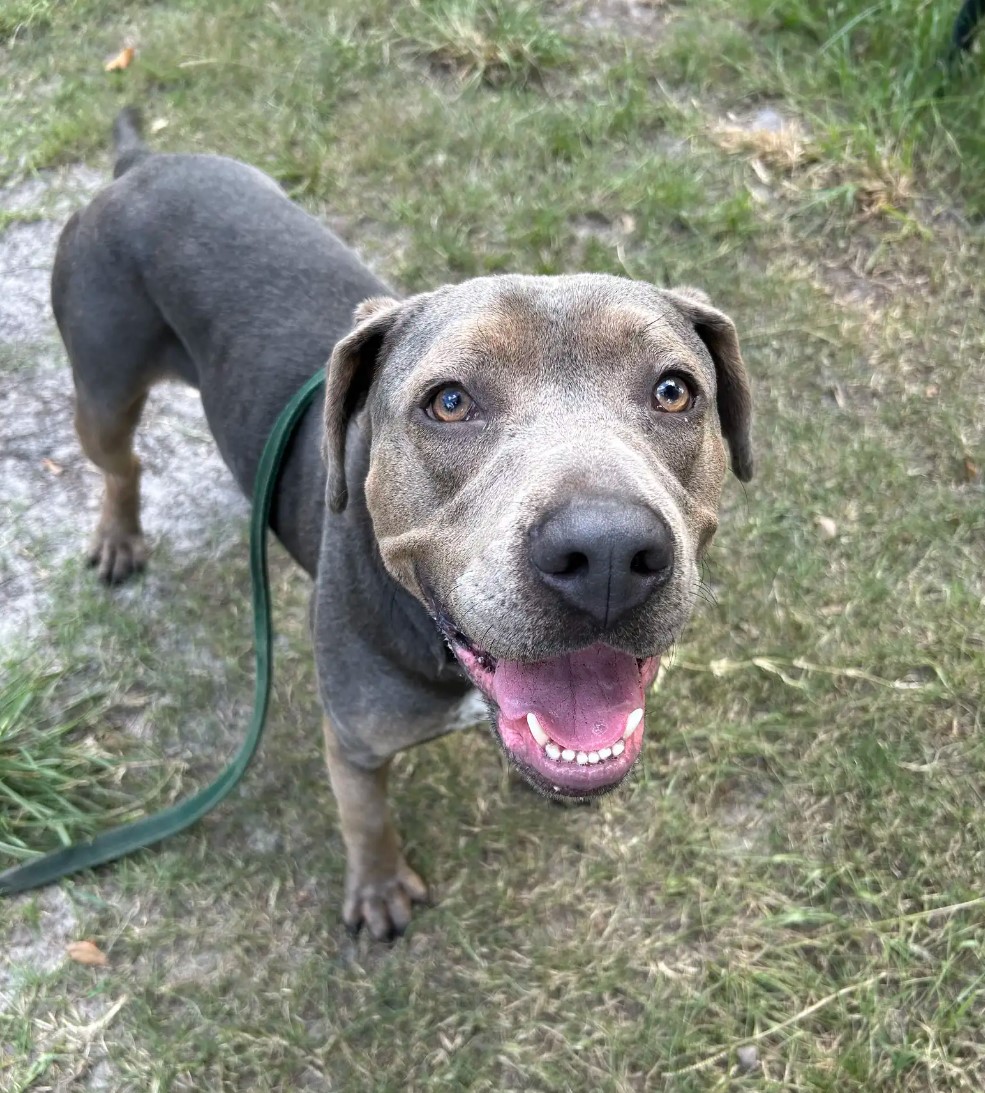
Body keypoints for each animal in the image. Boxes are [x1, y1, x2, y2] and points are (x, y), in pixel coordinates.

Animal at [50, 110, 747, 939]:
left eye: (674, 391)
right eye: (448, 402)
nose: (607, 551)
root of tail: (139, 164)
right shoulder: (354, 740)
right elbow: (366, 816)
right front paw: (379, 887)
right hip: (101, 388)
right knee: (120, 464)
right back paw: (118, 535)